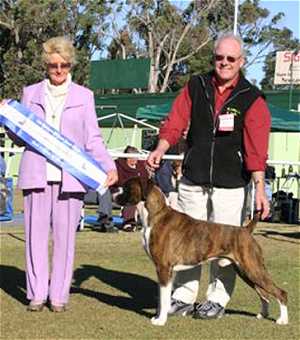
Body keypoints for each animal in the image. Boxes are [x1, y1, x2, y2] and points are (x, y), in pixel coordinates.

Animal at [116, 177, 288, 326]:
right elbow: (162, 297)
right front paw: (158, 317)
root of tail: (246, 230)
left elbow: (163, 299)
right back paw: (262, 314)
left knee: (280, 293)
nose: (113, 191)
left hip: (253, 269)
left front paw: (161, 320)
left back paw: (282, 320)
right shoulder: (163, 271)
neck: (156, 215)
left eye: (126, 187)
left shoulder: (163, 268)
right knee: (264, 294)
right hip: (246, 271)